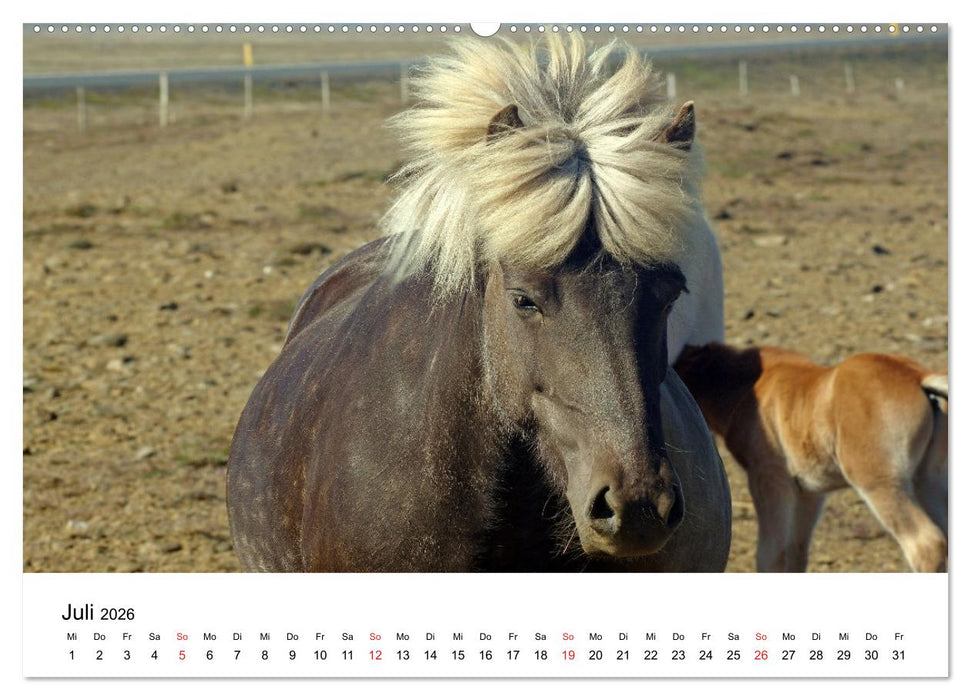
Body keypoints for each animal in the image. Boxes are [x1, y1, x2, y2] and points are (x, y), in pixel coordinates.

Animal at [674, 342, 948, 573]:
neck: (750, 384)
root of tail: (917, 376)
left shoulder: (770, 480)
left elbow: (771, 555)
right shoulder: (809, 492)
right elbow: (797, 552)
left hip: (880, 482)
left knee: (927, 546)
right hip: (928, 481)